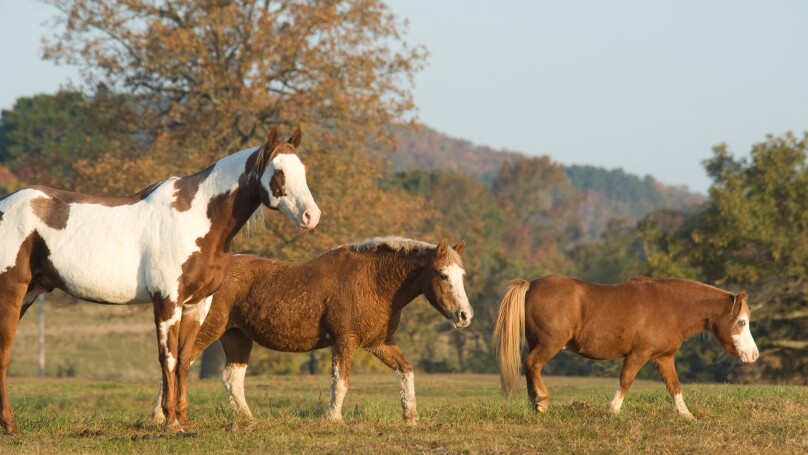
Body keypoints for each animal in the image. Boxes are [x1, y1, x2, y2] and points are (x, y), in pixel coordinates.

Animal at [0, 127, 320, 433]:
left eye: (304, 169)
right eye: (279, 171)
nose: (311, 216)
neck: (197, 218)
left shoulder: (197, 305)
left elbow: (185, 359)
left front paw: (182, 420)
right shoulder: (167, 301)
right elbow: (169, 358)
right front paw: (170, 421)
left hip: (30, 292)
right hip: (11, 292)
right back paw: (10, 426)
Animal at [152, 236, 472, 426]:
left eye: (462, 275)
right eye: (443, 275)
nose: (465, 316)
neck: (374, 281)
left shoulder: (379, 343)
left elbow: (406, 370)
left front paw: (411, 416)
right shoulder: (344, 342)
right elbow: (340, 382)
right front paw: (334, 419)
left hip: (237, 337)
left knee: (232, 379)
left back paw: (249, 420)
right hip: (207, 330)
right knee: (177, 363)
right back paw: (161, 416)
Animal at [492, 276, 759, 418]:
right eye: (741, 322)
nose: (753, 355)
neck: (670, 307)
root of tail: (531, 285)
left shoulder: (664, 358)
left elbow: (674, 386)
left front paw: (686, 414)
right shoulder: (638, 355)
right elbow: (625, 381)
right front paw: (613, 410)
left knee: (530, 367)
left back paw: (535, 404)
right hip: (550, 343)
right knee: (532, 364)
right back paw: (541, 401)